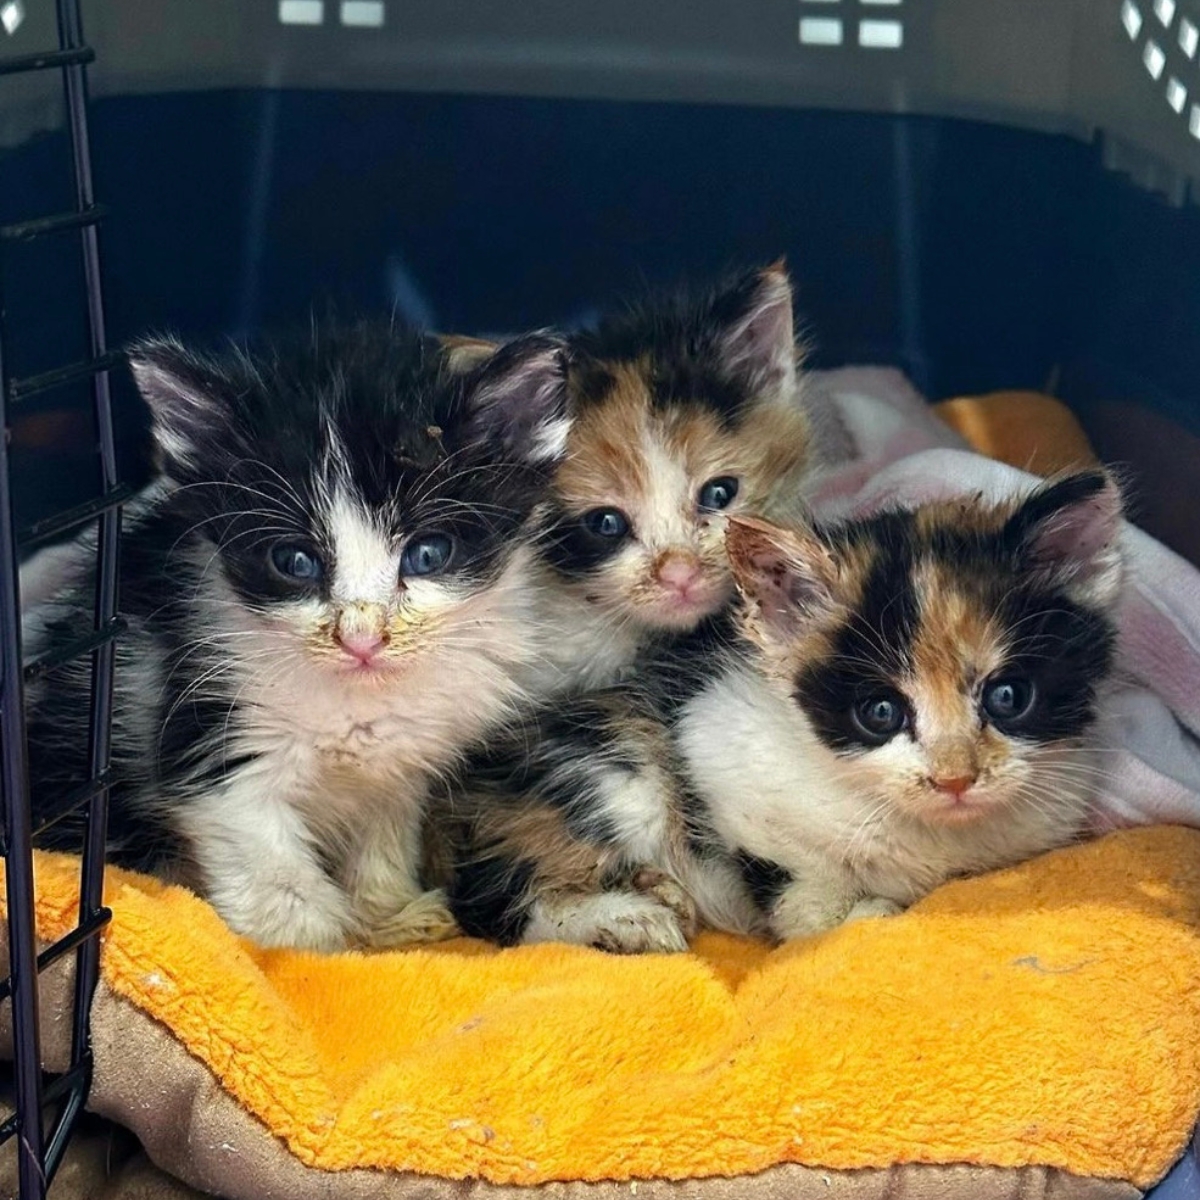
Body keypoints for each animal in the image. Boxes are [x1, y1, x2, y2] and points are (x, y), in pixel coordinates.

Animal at [25, 321, 568, 955]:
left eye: (428, 554)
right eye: (294, 562)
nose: (362, 637)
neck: (359, 698)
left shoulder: (405, 763)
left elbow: (384, 831)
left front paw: (387, 917)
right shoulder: (211, 726)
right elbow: (272, 871)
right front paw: (313, 949)